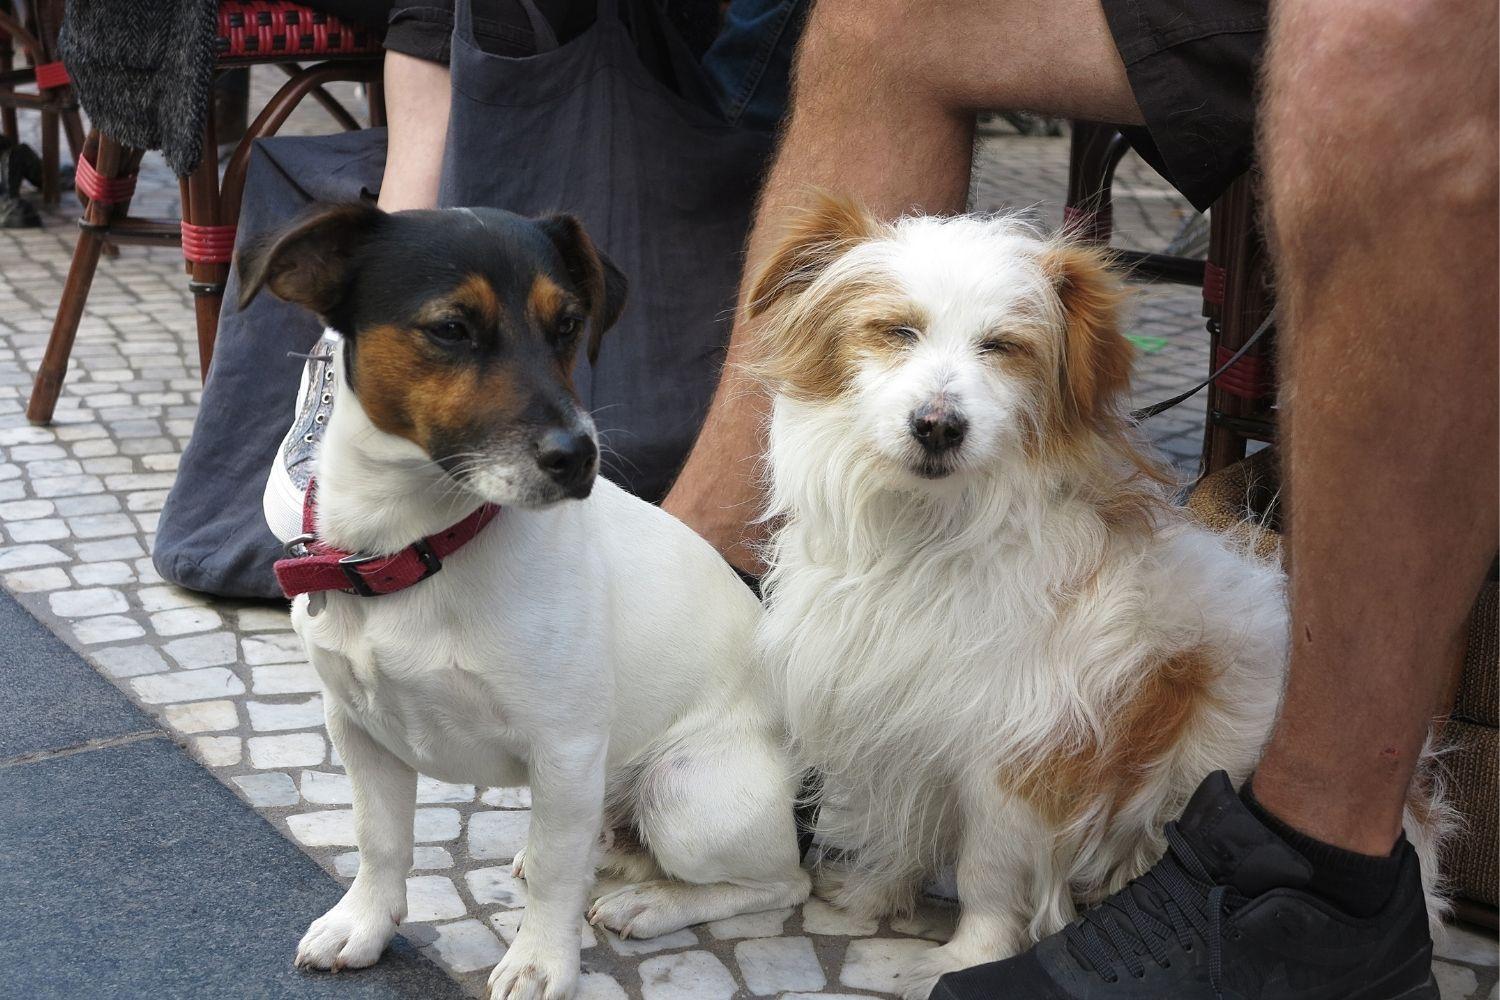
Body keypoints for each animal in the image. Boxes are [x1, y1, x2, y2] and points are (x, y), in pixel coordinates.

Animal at [237, 203, 810, 1000]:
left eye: (568, 324)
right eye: (451, 327)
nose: (581, 457)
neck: (421, 546)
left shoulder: (563, 748)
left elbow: (552, 871)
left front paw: (540, 962)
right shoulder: (357, 728)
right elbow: (380, 841)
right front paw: (365, 924)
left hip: (689, 797)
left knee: (781, 884)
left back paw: (653, 902)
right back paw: (618, 860)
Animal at [747, 191, 1440, 995]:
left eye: (1001, 347)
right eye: (898, 331)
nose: (939, 426)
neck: (929, 535)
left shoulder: (1018, 753)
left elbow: (987, 872)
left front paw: (966, 959)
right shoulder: (895, 722)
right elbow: (898, 826)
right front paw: (873, 897)